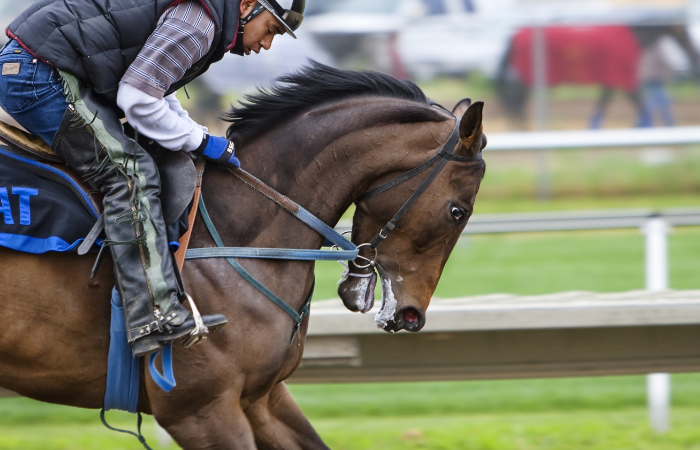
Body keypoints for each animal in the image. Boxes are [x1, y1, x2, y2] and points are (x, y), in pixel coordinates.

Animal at [494, 23, 700, 128]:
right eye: (683, 29)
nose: (693, 53)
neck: (633, 37)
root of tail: (516, 35)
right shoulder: (623, 80)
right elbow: (641, 106)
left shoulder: (611, 81)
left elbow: (603, 105)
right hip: (528, 78)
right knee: (515, 99)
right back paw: (519, 125)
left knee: (514, 99)